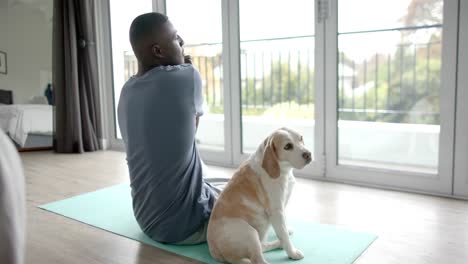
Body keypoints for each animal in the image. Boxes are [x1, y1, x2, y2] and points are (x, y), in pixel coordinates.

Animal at [207, 127, 310, 262]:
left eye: (301, 138)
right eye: (288, 146)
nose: (308, 154)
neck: (283, 171)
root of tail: (215, 251)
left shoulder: (282, 206)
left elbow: (284, 228)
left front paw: (287, 231)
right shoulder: (276, 211)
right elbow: (284, 235)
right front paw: (292, 253)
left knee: (263, 246)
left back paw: (278, 244)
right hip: (250, 233)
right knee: (258, 259)